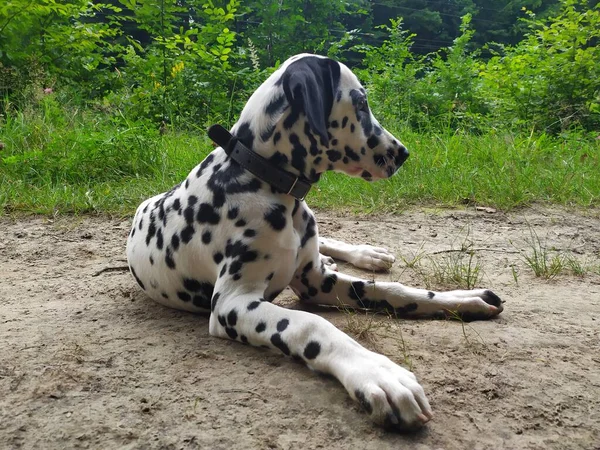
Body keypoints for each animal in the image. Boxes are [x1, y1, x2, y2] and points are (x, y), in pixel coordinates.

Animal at [126, 53, 502, 432]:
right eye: (361, 103)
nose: (403, 152)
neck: (262, 179)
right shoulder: (233, 304)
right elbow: (311, 324)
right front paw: (377, 374)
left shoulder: (317, 281)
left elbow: (392, 290)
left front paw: (460, 299)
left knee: (329, 244)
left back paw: (367, 254)